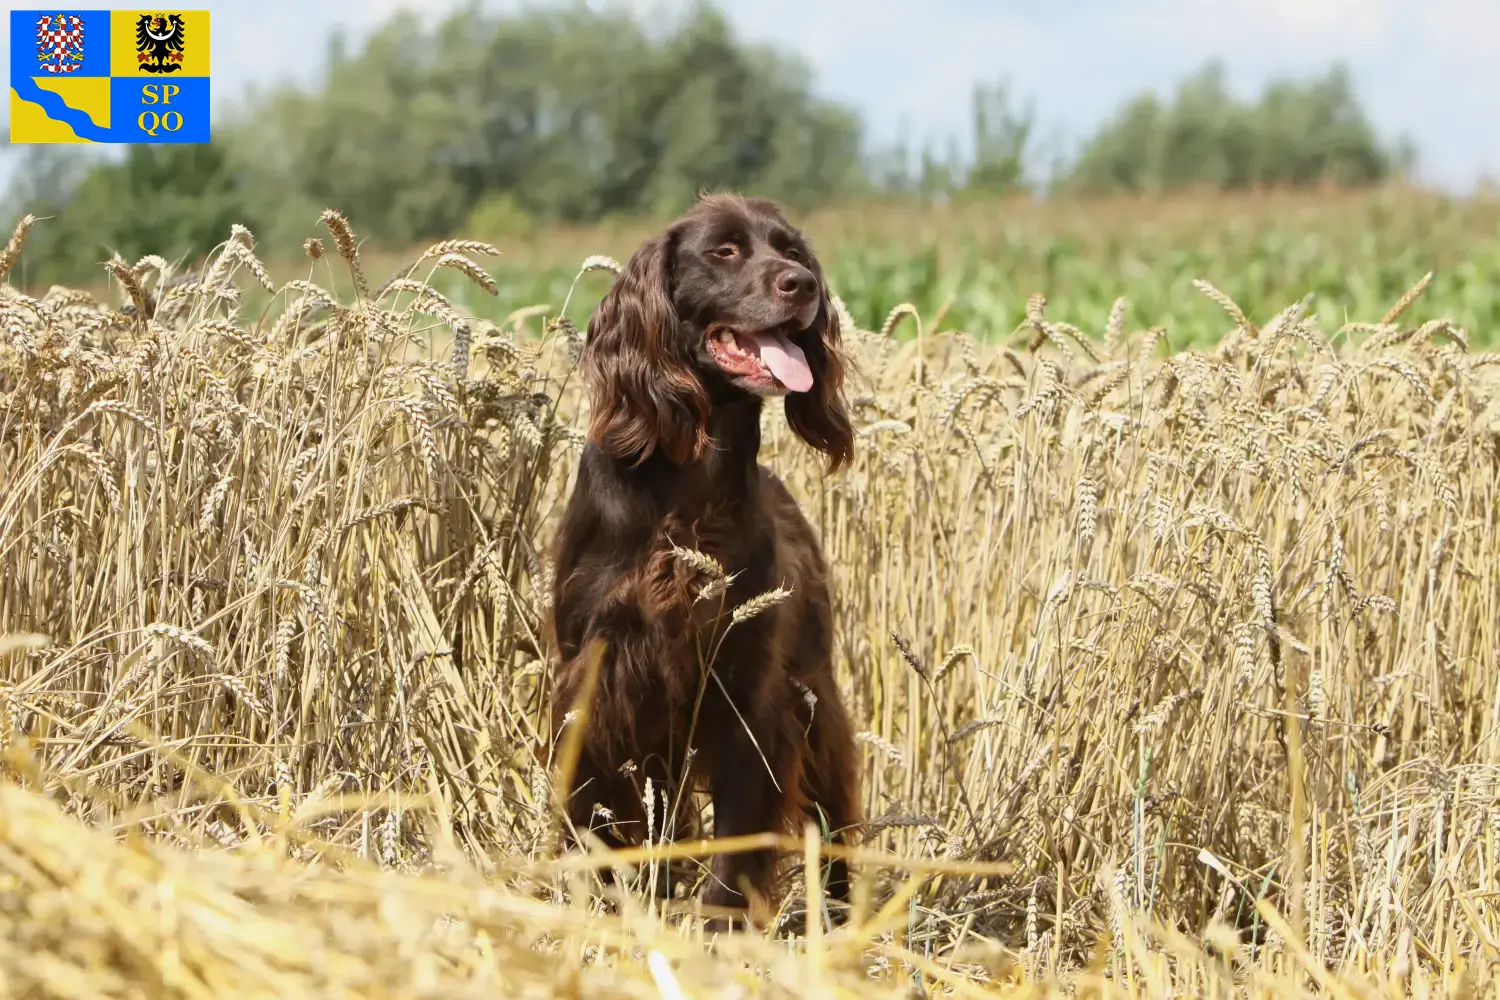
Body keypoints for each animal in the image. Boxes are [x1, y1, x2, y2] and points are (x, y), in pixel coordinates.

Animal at [549, 191, 858, 929]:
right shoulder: (597, 675)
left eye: (792, 251)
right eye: (723, 251)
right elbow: (595, 815)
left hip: (815, 698)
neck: (691, 481)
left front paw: (720, 931)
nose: (802, 286)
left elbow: (738, 840)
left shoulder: (750, 694)